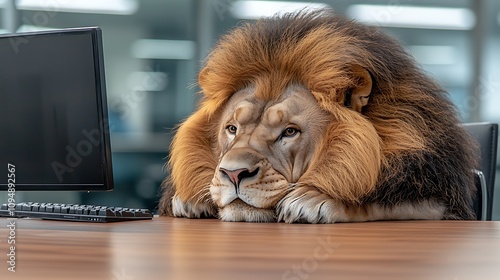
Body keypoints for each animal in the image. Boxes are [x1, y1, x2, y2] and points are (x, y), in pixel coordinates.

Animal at [158, 9, 478, 223]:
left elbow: (381, 204)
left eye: (290, 131)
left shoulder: (445, 203)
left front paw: (313, 199)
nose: (234, 174)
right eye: (232, 128)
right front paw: (191, 197)